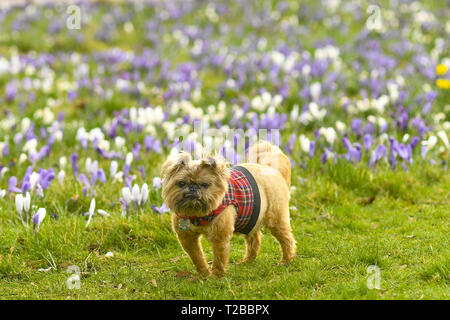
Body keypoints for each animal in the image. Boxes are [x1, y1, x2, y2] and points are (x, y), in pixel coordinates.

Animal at [161, 142, 296, 278]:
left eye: (205, 185)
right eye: (181, 183)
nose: (193, 188)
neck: (197, 213)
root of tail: (271, 169)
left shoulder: (219, 236)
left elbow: (219, 258)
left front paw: (216, 275)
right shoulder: (187, 238)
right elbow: (197, 257)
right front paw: (204, 273)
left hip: (276, 220)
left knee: (287, 240)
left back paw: (286, 260)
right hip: (250, 219)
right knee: (254, 239)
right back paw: (247, 261)